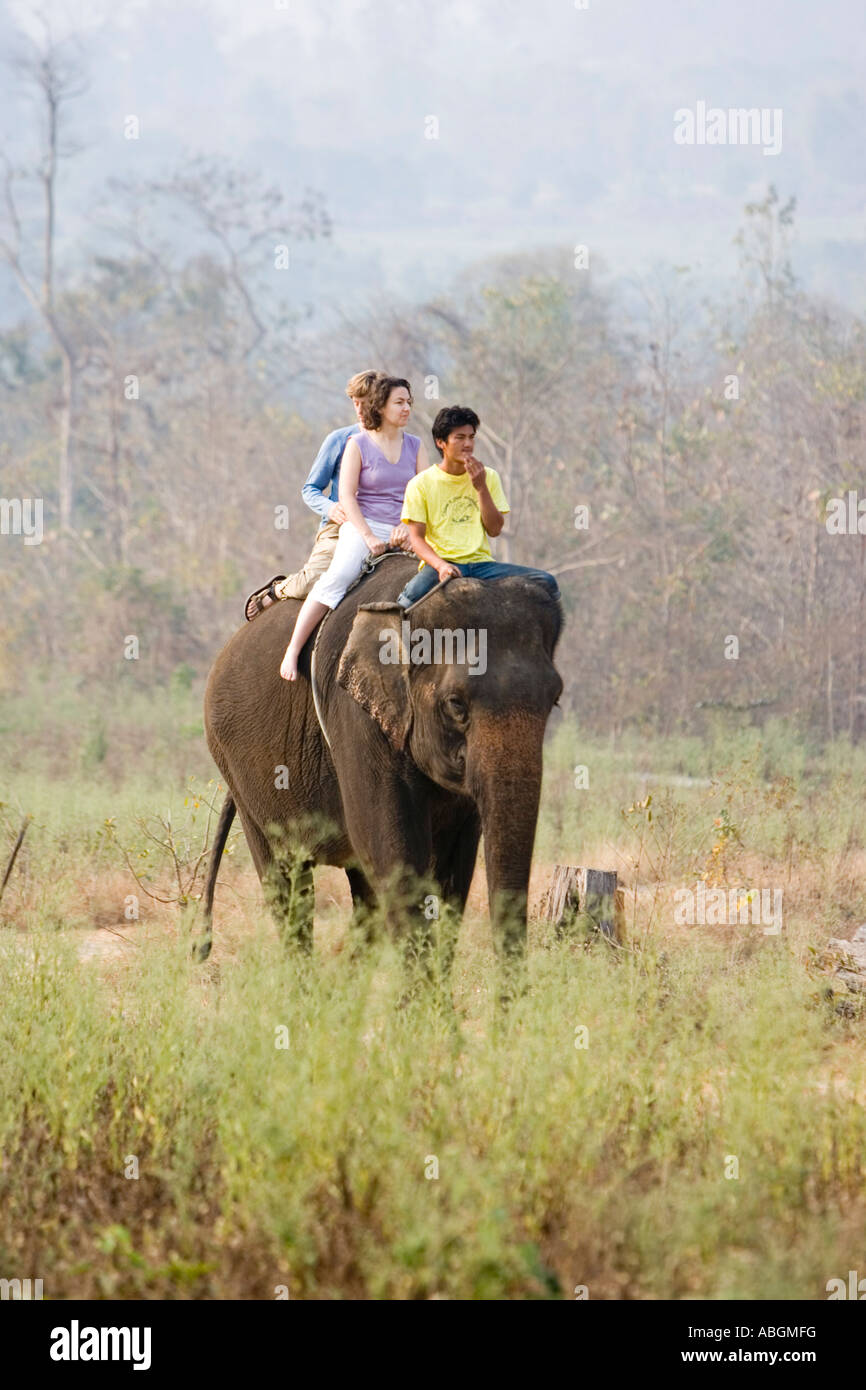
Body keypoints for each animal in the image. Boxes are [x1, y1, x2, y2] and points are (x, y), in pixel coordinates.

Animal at [200, 553, 563, 982]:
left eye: (554, 700)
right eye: (456, 704)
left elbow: (453, 871)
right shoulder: (356, 718)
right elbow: (394, 854)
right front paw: (423, 1001)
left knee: (363, 895)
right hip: (236, 769)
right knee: (287, 883)